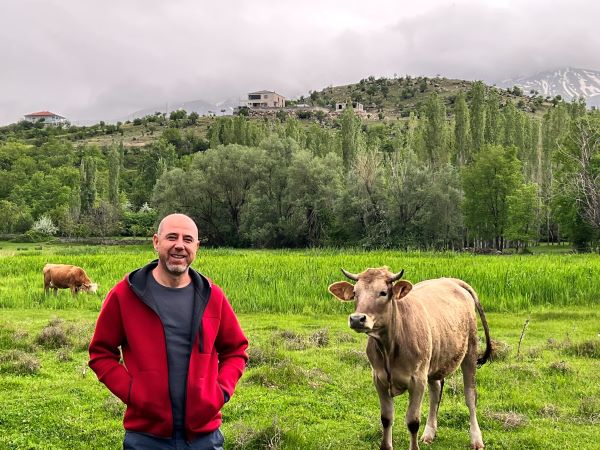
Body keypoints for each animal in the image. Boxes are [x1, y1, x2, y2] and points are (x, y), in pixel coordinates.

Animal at [328, 268, 492, 450]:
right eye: (355, 293)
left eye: (383, 292)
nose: (357, 319)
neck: (389, 346)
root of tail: (451, 280)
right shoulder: (378, 378)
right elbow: (386, 418)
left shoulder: (417, 380)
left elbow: (412, 421)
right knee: (436, 391)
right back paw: (429, 433)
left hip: (470, 351)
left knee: (470, 396)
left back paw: (476, 439)